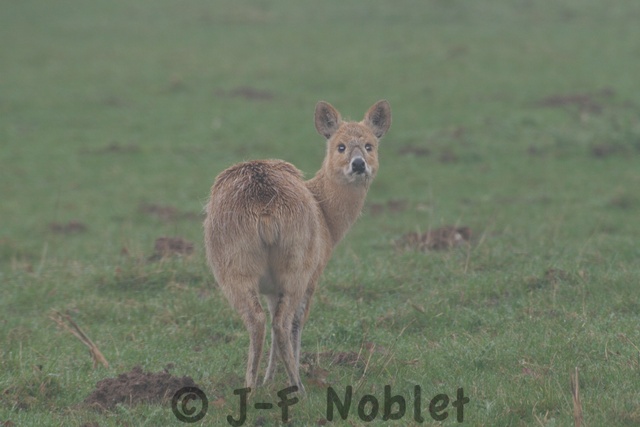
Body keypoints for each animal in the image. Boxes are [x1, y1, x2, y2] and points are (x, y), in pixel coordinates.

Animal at [203, 100, 391, 393]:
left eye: (370, 145)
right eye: (340, 146)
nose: (359, 164)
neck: (327, 220)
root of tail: (265, 209)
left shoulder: (271, 286)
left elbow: (272, 319)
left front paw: (269, 378)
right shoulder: (314, 275)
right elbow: (296, 323)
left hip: (235, 266)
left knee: (259, 320)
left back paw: (251, 386)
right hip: (297, 265)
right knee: (283, 322)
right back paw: (298, 386)